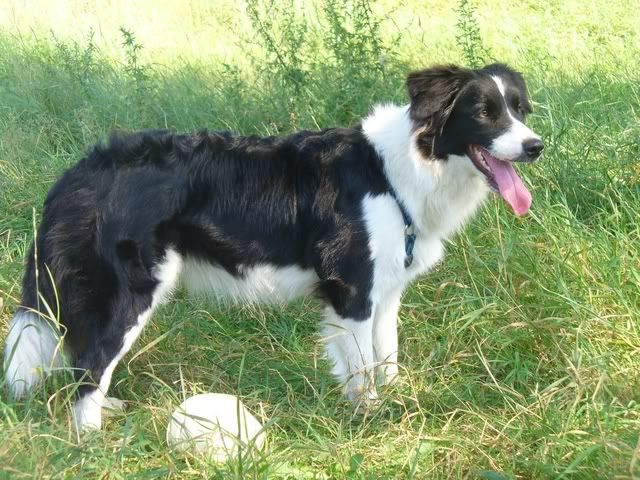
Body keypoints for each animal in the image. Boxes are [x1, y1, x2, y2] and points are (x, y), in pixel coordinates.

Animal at [3, 63, 543, 431]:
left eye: (520, 109)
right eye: (484, 113)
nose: (536, 146)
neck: (397, 171)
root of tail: (79, 173)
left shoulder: (384, 293)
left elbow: (385, 357)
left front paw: (395, 407)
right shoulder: (352, 290)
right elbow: (362, 368)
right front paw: (370, 421)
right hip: (130, 292)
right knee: (90, 366)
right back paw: (92, 438)